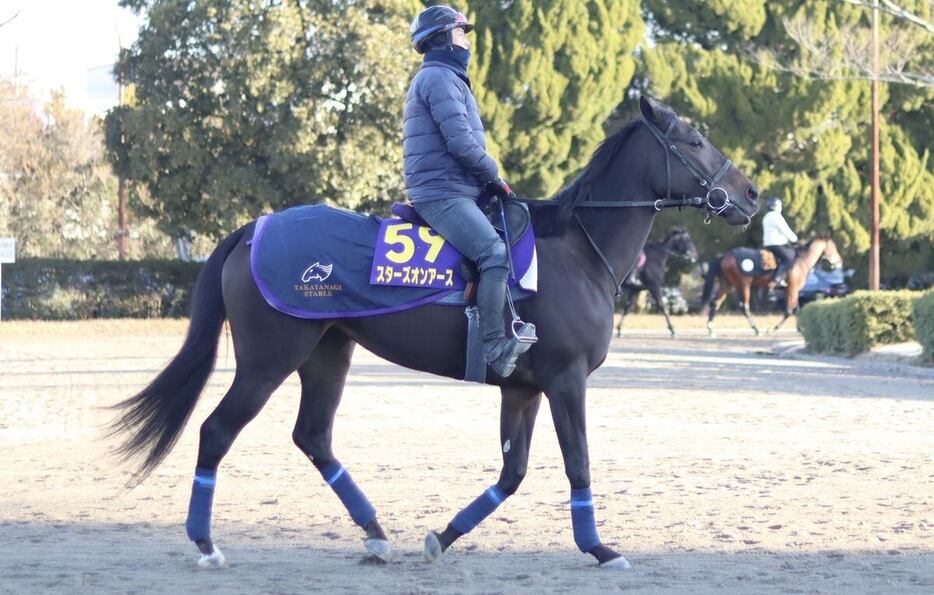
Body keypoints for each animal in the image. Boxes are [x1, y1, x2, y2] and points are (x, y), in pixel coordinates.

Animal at [113, 98, 764, 572]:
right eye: (694, 140)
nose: (752, 193)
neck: (576, 250)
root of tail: (254, 229)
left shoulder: (522, 389)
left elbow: (512, 472)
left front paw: (442, 536)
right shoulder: (565, 379)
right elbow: (577, 461)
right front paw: (599, 548)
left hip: (328, 353)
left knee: (314, 437)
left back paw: (376, 535)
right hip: (268, 360)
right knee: (217, 431)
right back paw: (205, 544)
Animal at [704, 239, 848, 340]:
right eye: (833, 247)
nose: (839, 262)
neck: (801, 261)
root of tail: (725, 255)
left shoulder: (793, 290)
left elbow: (796, 309)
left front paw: (801, 328)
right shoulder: (793, 289)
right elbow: (789, 310)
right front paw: (773, 329)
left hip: (727, 283)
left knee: (716, 303)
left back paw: (711, 330)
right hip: (743, 284)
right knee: (744, 306)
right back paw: (757, 330)